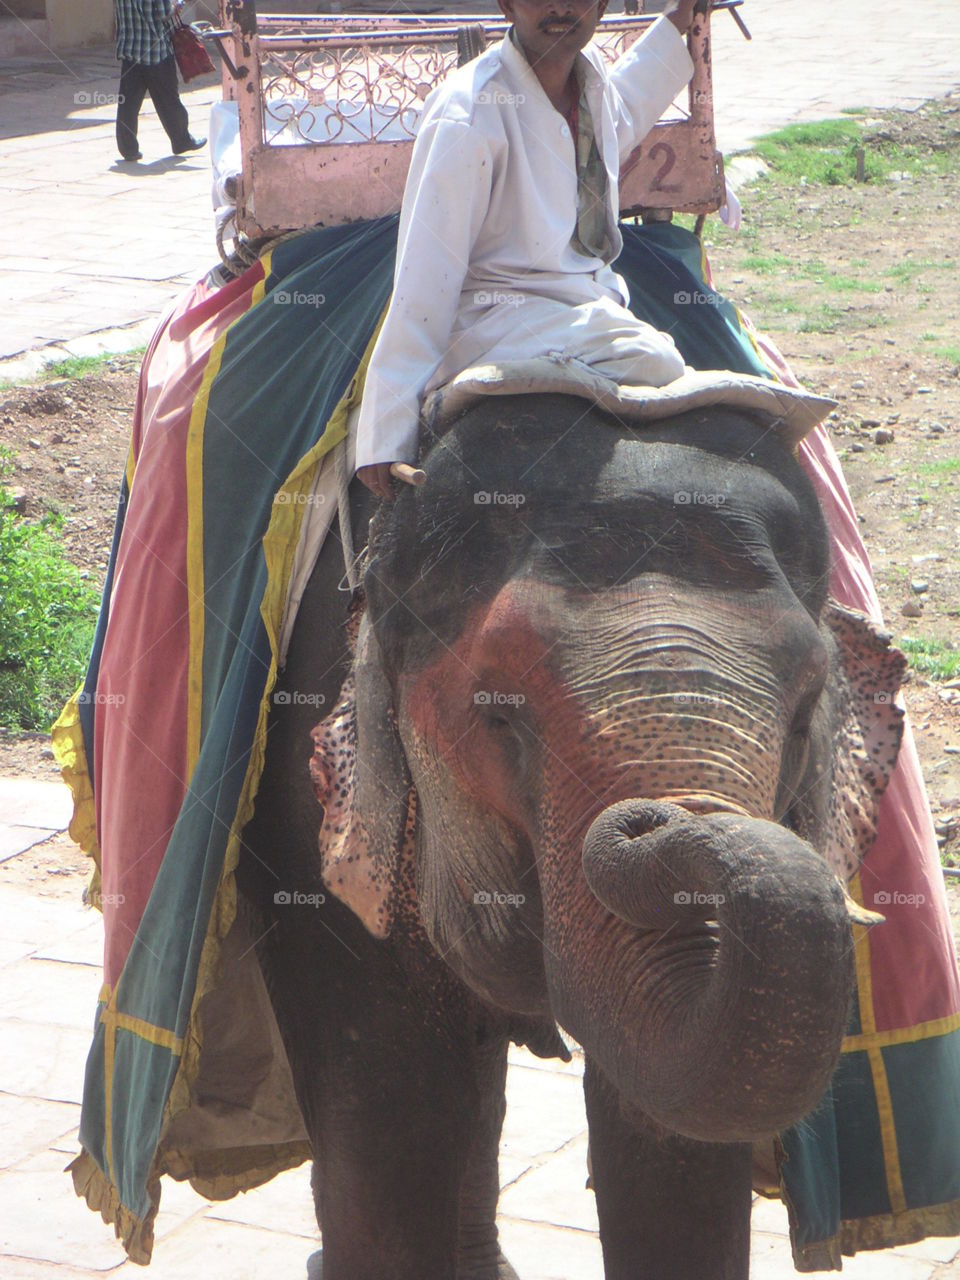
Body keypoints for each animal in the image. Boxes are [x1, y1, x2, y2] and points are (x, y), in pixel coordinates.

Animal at [236, 393, 905, 1280]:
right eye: (499, 715)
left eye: (804, 718)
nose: (656, 817)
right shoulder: (303, 794)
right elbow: (387, 1112)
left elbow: (666, 1138)